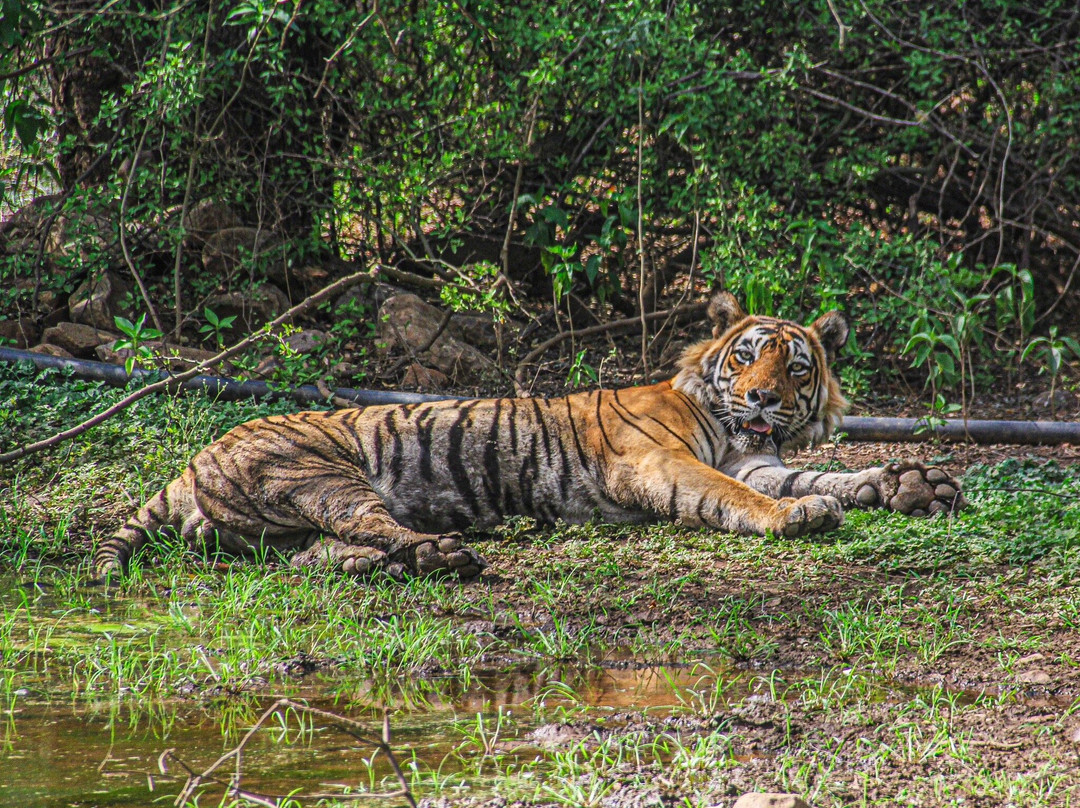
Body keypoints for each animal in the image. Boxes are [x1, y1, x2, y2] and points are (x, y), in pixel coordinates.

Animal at [93, 291, 964, 581]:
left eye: (796, 366)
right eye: (747, 355)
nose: (760, 398)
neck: (723, 424)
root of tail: (188, 464)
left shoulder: (760, 458)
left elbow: (824, 478)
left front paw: (910, 484)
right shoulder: (659, 462)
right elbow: (732, 496)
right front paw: (797, 518)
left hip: (285, 525)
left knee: (320, 555)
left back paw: (409, 565)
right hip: (320, 474)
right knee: (374, 526)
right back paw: (443, 556)